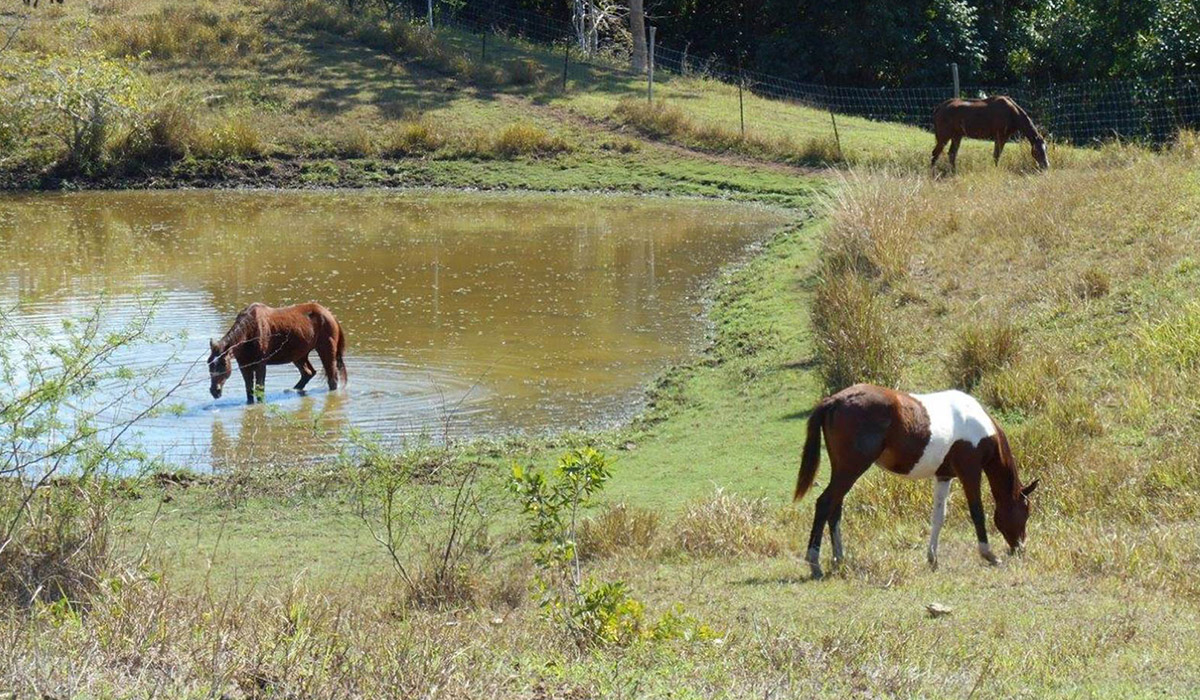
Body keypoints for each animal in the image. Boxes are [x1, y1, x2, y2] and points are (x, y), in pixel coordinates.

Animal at [792, 386, 1036, 578]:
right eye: (1025, 512)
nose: (1020, 548)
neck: (978, 424)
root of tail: (834, 400)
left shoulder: (944, 476)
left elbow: (938, 517)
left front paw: (933, 559)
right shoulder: (970, 472)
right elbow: (977, 512)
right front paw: (989, 555)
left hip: (843, 471)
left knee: (835, 508)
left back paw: (839, 560)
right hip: (851, 469)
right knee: (824, 503)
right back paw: (815, 564)